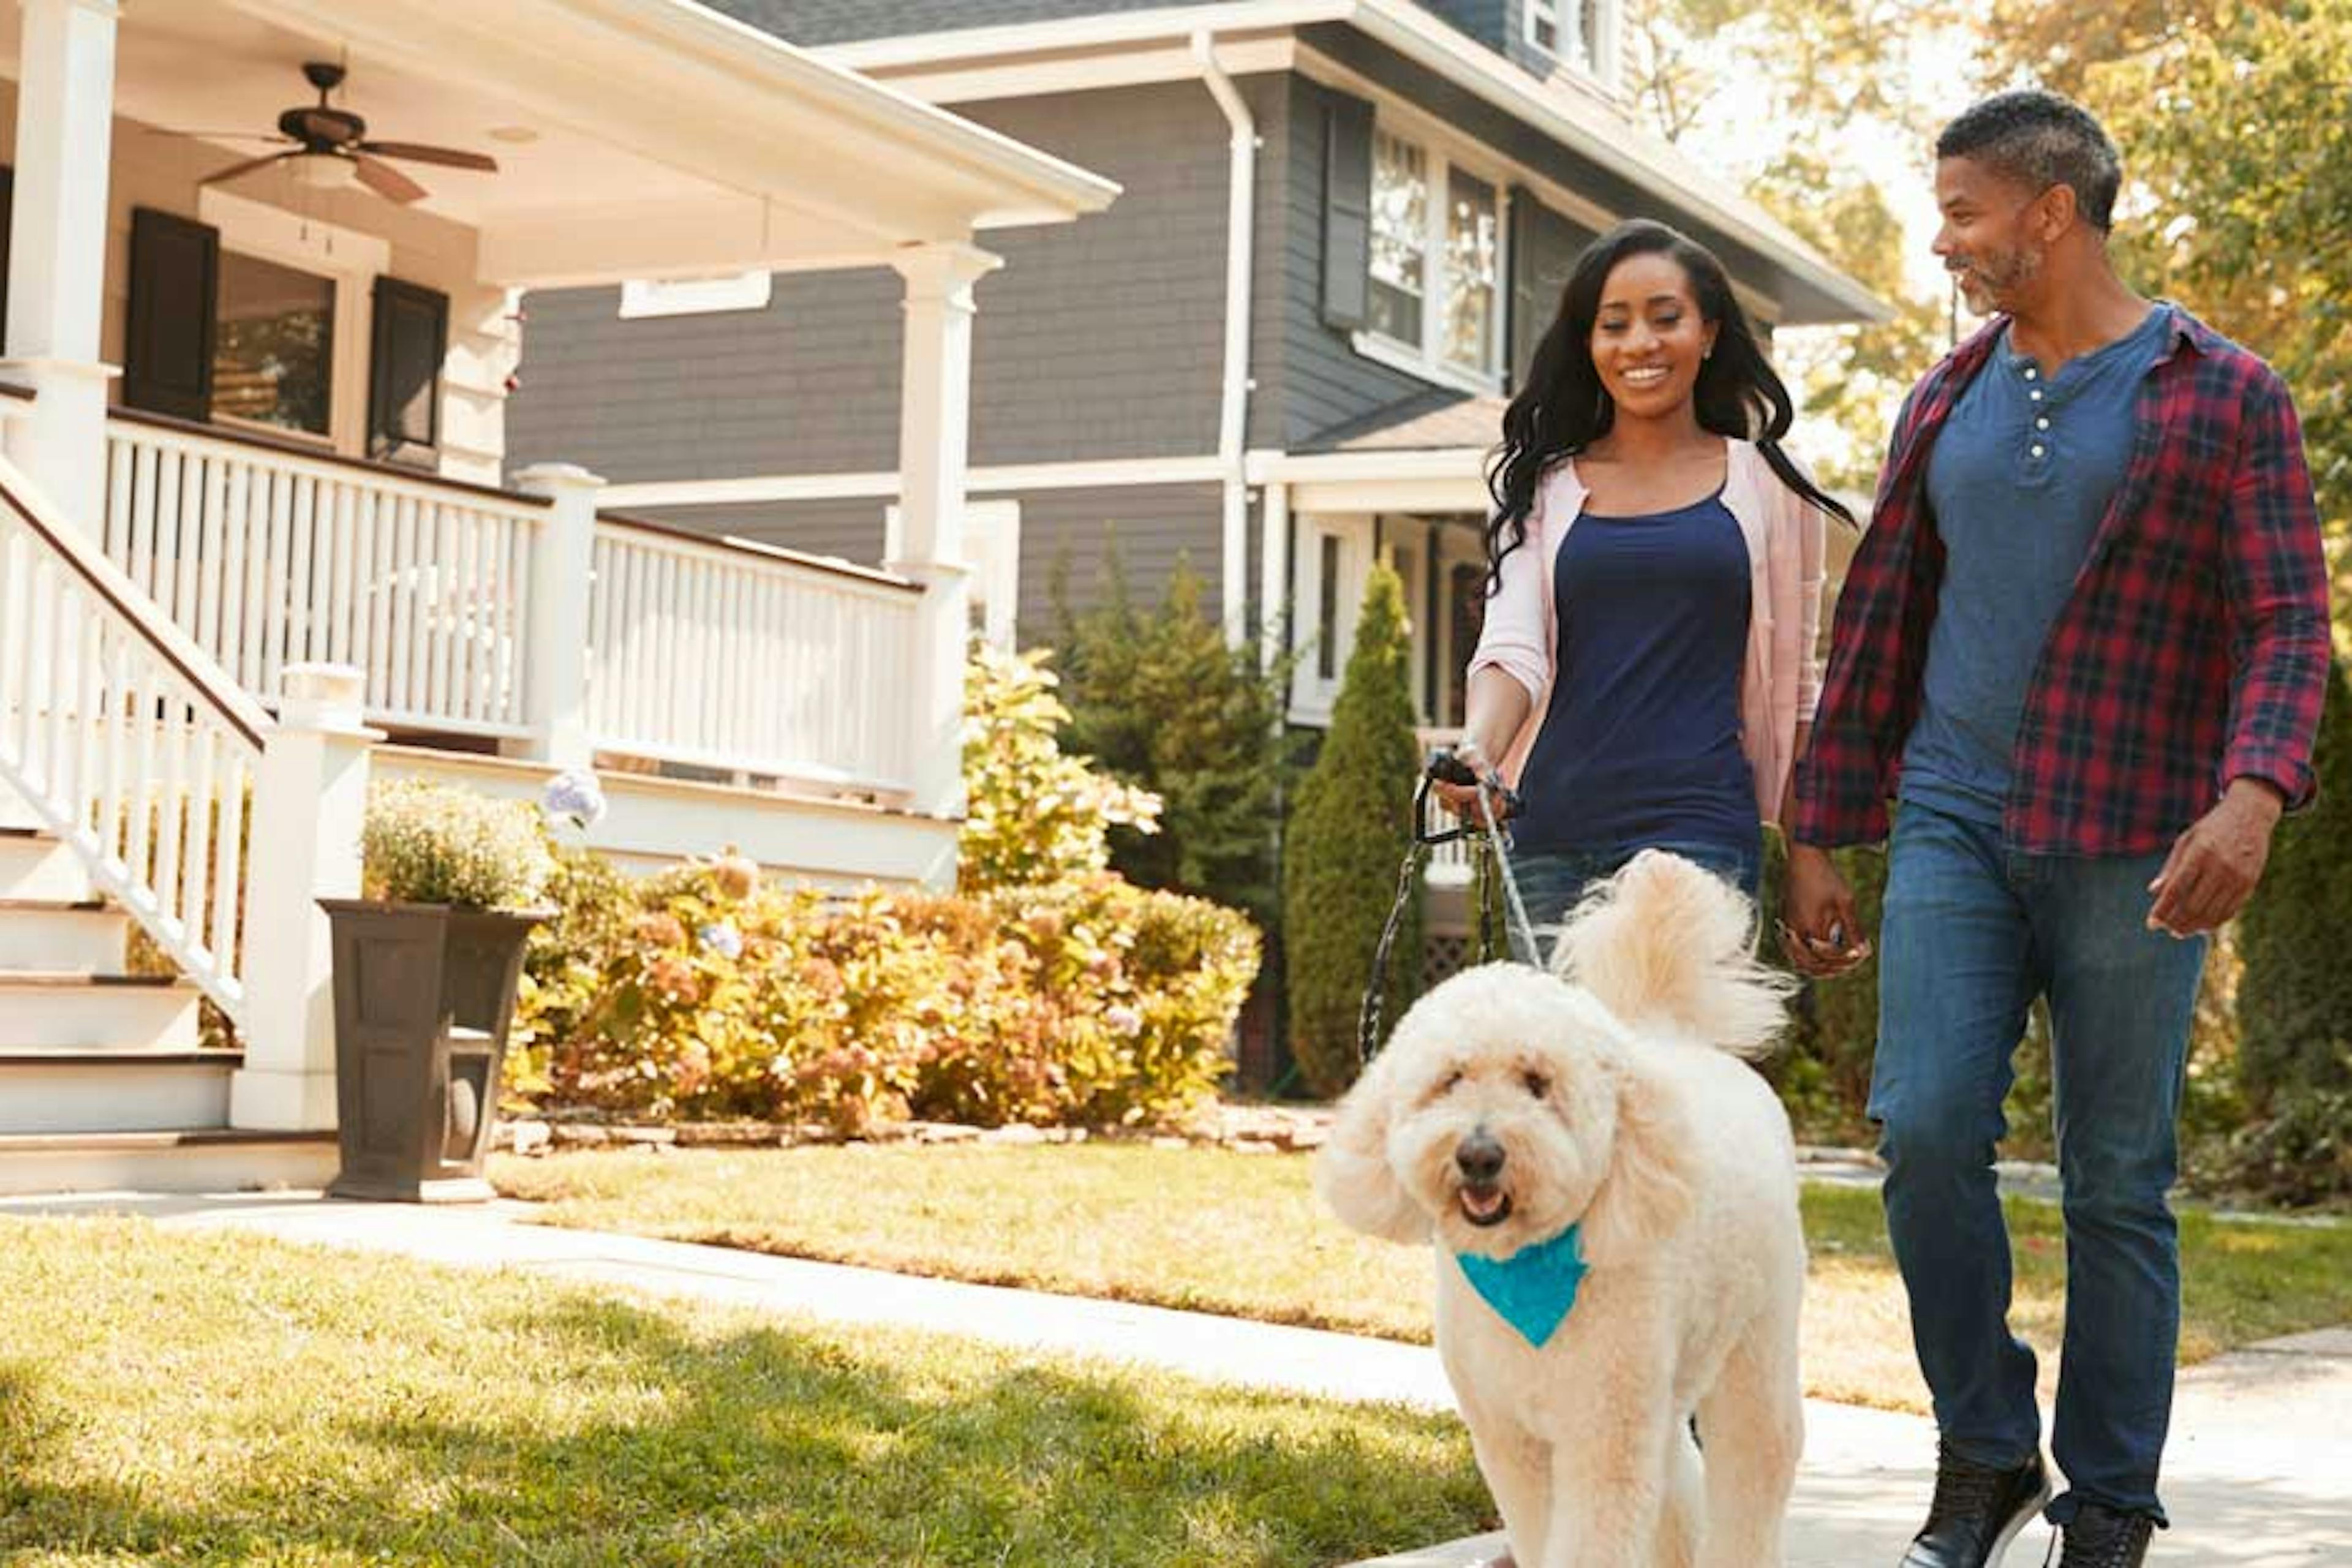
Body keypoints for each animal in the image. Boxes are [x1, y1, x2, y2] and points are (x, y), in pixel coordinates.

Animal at [1326, 851, 1796, 1568]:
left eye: (1537, 1083)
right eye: (1451, 1079)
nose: (1479, 1155)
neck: (1524, 1268)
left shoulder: (1602, 1436)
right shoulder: (1510, 1439)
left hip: (1755, 1343)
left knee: (1756, 1466)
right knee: (1677, 1478)